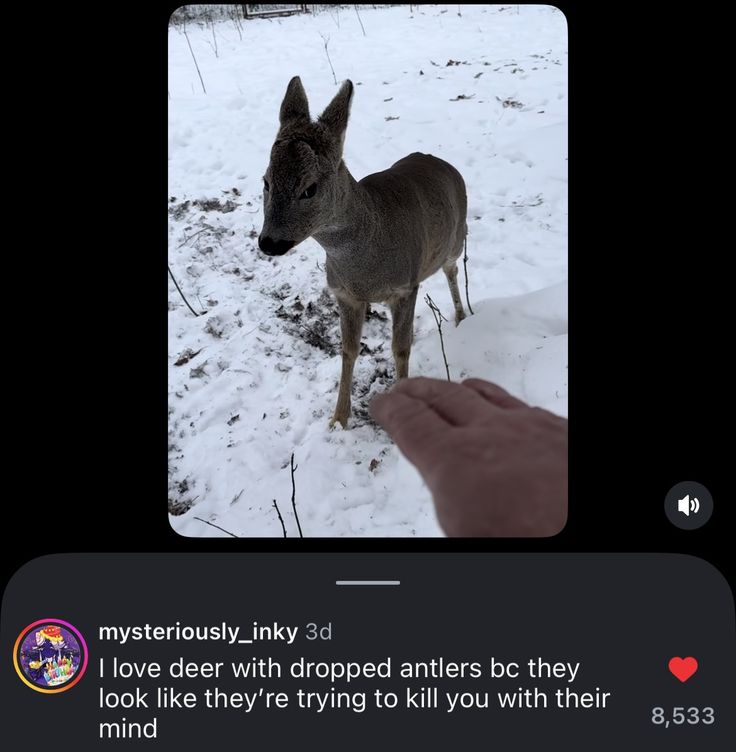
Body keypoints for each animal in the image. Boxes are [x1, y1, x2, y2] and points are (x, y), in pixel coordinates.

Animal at [259, 76, 468, 428]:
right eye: (266, 181)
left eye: (309, 188)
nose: (268, 242)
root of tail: (444, 164)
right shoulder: (344, 294)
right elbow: (348, 349)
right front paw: (338, 419)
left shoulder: (406, 287)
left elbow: (401, 349)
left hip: (458, 238)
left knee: (453, 270)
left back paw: (463, 317)